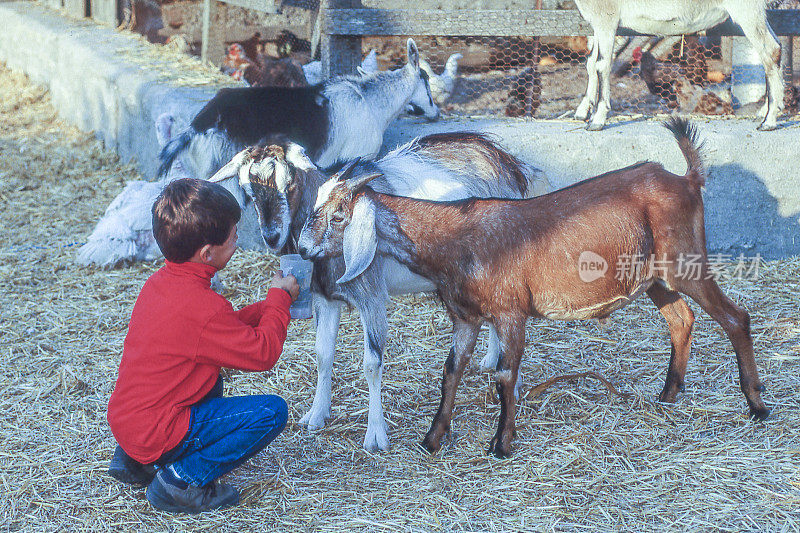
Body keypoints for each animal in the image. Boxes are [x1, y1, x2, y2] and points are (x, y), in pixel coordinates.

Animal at [209, 132, 552, 448]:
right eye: (247, 190)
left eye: (289, 184)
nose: (271, 236)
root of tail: (511, 163)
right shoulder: (325, 297)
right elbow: (323, 354)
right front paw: (316, 415)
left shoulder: (371, 296)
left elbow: (372, 363)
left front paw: (375, 435)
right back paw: (492, 359)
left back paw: (513, 384)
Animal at [298, 117, 768, 458]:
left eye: (339, 216)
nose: (302, 248)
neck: (457, 236)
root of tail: (687, 180)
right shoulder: (466, 317)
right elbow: (451, 371)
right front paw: (433, 438)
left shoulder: (511, 313)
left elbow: (506, 375)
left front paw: (501, 444)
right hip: (655, 278)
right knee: (681, 318)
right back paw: (668, 394)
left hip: (686, 263)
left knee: (735, 317)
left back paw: (756, 406)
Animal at [572, 0, 784, 130]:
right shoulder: (599, 23)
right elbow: (591, 63)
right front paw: (582, 112)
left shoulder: (606, 16)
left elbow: (602, 65)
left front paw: (597, 120)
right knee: (777, 48)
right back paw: (765, 111)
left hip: (748, 9)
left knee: (770, 51)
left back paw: (769, 121)